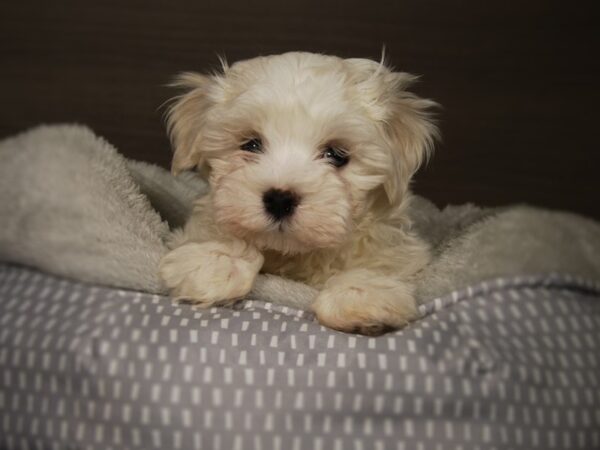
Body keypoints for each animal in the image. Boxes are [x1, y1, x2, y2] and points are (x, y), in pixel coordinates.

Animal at [159, 51, 438, 334]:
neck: (293, 254)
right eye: (251, 145)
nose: (279, 199)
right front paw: (216, 259)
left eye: (336, 155)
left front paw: (360, 293)